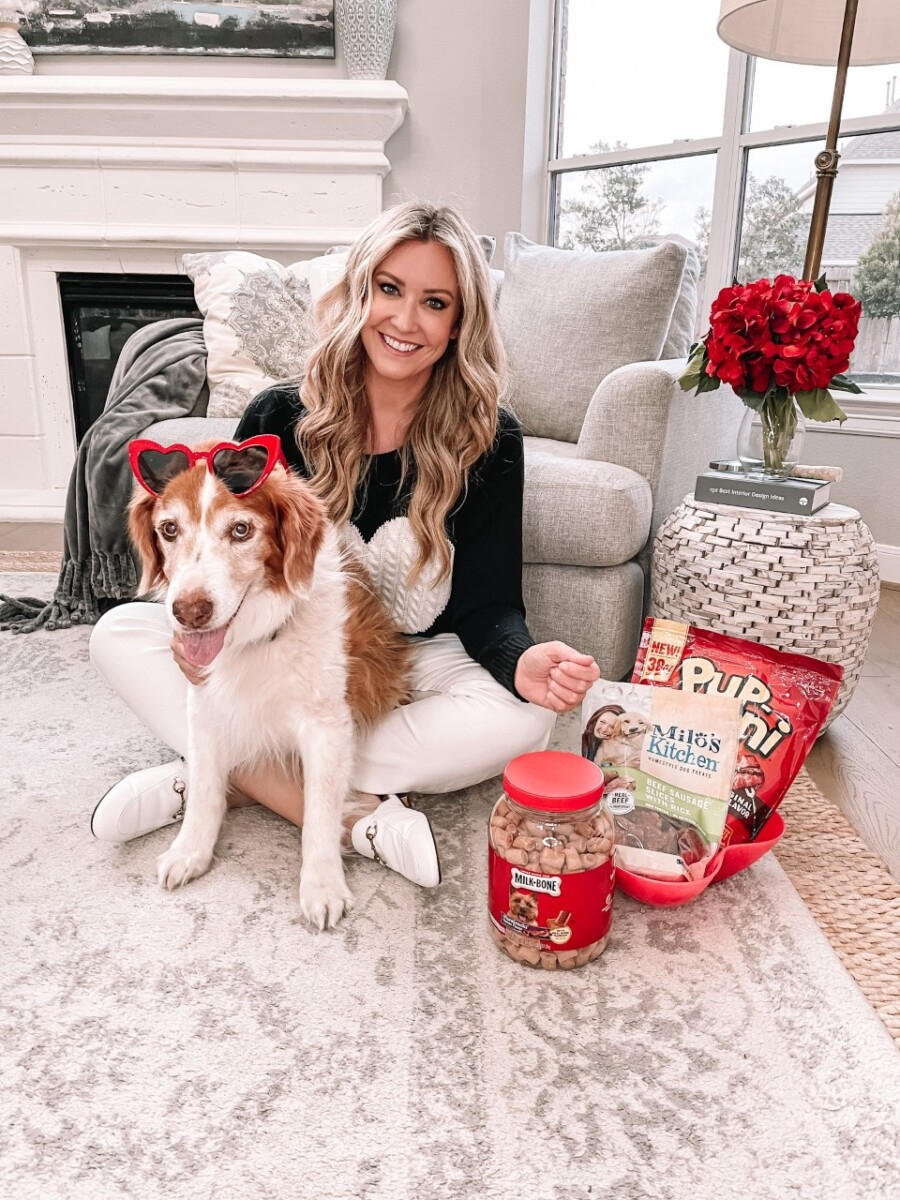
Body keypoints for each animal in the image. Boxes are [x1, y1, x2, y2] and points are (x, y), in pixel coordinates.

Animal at [127, 446, 412, 931]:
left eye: (241, 530)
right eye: (169, 529)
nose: (189, 612)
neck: (258, 636)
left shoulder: (327, 726)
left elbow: (319, 811)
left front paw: (322, 885)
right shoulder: (205, 705)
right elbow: (204, 787)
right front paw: (190, 850)